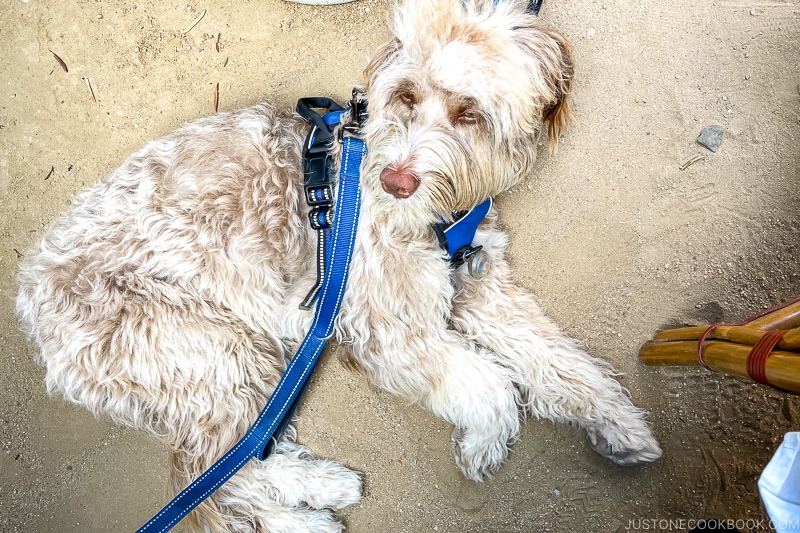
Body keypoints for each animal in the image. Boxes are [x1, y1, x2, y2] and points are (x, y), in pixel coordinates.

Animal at [15, 2, 664, 528]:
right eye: (406, 95)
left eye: (469, 112)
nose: (396, 180)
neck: (436, 216)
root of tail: (30, 305)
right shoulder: (390, 330)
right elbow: (490, 385)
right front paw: (485, 443)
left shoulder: (480, 287)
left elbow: (556, 359)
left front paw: (619, 424)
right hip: (211, 352)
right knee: (218, 476)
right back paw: (316, 506)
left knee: (225, 470)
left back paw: (317, 495)